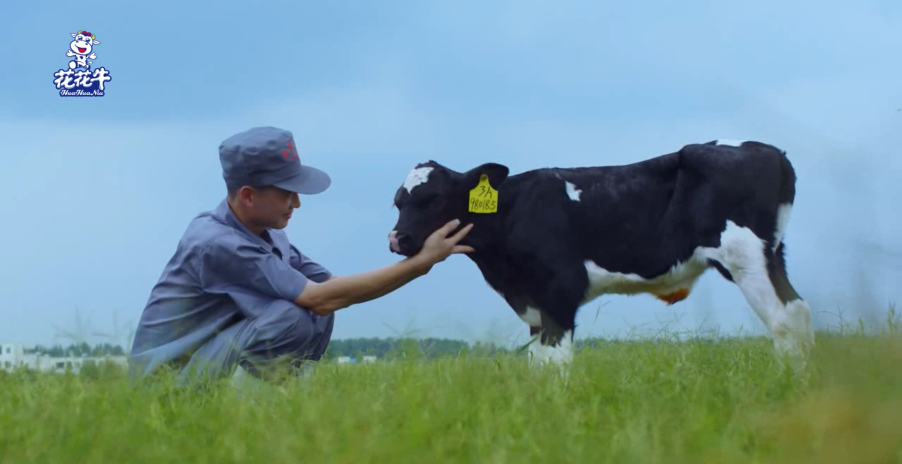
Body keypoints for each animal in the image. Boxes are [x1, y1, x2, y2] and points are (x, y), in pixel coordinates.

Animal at [388, 138, 820, 370]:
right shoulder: (533, 302)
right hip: (771, 253)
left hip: (744, 254)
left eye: (433, 199)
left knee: (784, 318)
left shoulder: (559, 290)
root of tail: (768, 150)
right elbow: (537, 362)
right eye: (397, 202)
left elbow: (556, 362)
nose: (397, 239)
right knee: (797, 310)